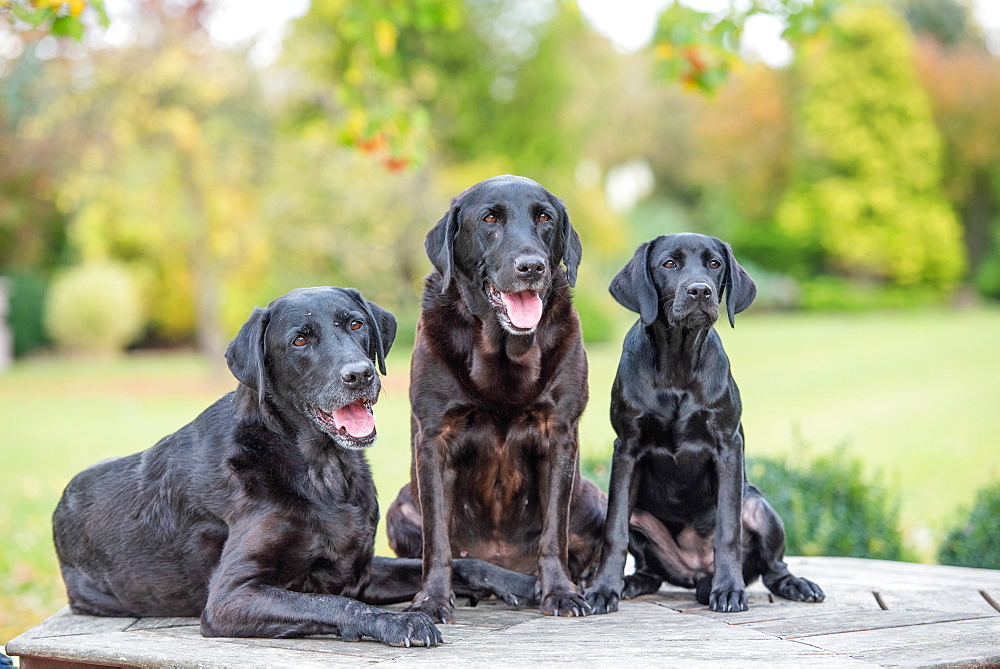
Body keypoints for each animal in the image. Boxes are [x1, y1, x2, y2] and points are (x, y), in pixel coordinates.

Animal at [584, 234, 824, 612]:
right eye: (668, 264)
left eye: (715, 264)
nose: (700, 291)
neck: (677, 368)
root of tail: (693, 572)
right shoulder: (626, 448)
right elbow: (614, 530)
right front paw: (603, 589)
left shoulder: (727, 445)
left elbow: (727, 531)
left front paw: (728, 590)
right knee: (649, 568)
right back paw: (631, 583)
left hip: (759, 508)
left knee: (773, 568)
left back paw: (792, 584)